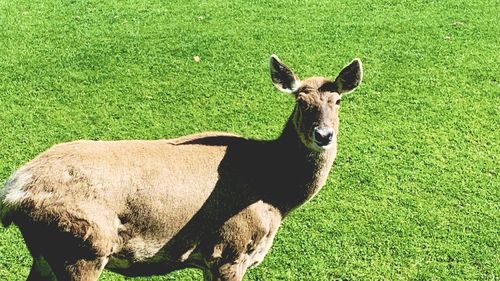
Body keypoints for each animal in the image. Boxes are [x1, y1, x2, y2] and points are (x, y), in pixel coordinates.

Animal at [1, 53, 364, 278]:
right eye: (300, 101)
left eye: (337, 101)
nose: (324, 135)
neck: (275, 195)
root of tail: (14, 191)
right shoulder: (230, 249)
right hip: (82, 247)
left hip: (48, 254)